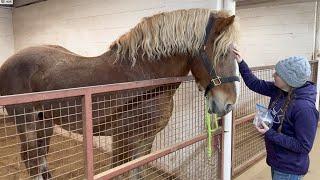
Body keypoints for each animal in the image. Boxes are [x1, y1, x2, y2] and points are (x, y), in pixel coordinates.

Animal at [0, 8, 240, 180]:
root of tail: (7, 63)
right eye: (221, 53)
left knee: (40, 157)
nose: (228, 104)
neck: (144, 79)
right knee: (32, 160)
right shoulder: (123, 138)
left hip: (45, 122)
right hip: (26, 122)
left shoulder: (146, 139)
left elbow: (137, 173)